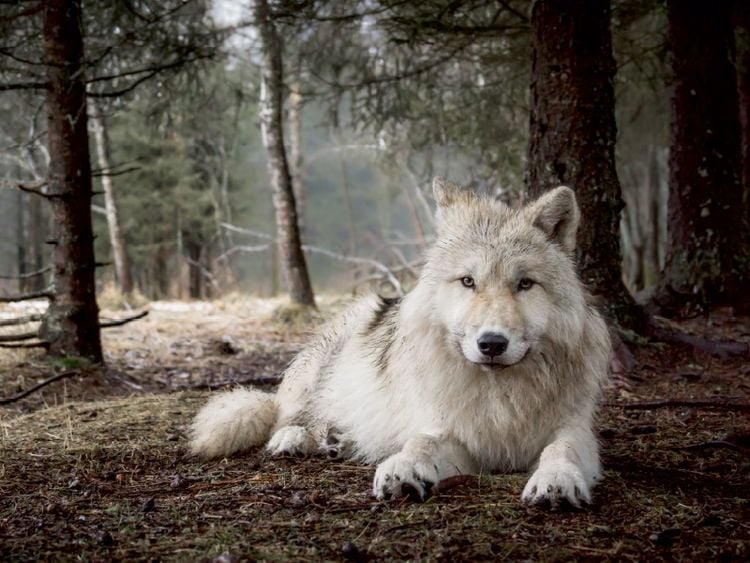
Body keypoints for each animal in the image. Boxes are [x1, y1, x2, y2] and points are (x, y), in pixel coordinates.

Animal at [191, 178, 611, 508]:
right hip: (321, 365)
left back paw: (338, 441)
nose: (491, 343)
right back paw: (297, 438)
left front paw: (556, 480)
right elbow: (420, 444)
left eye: (525, 284)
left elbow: (561, 449)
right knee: (286, 414)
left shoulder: (573, 428)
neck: (499, 395)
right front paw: (404, 468)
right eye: (468, 282)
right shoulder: (445, 429)